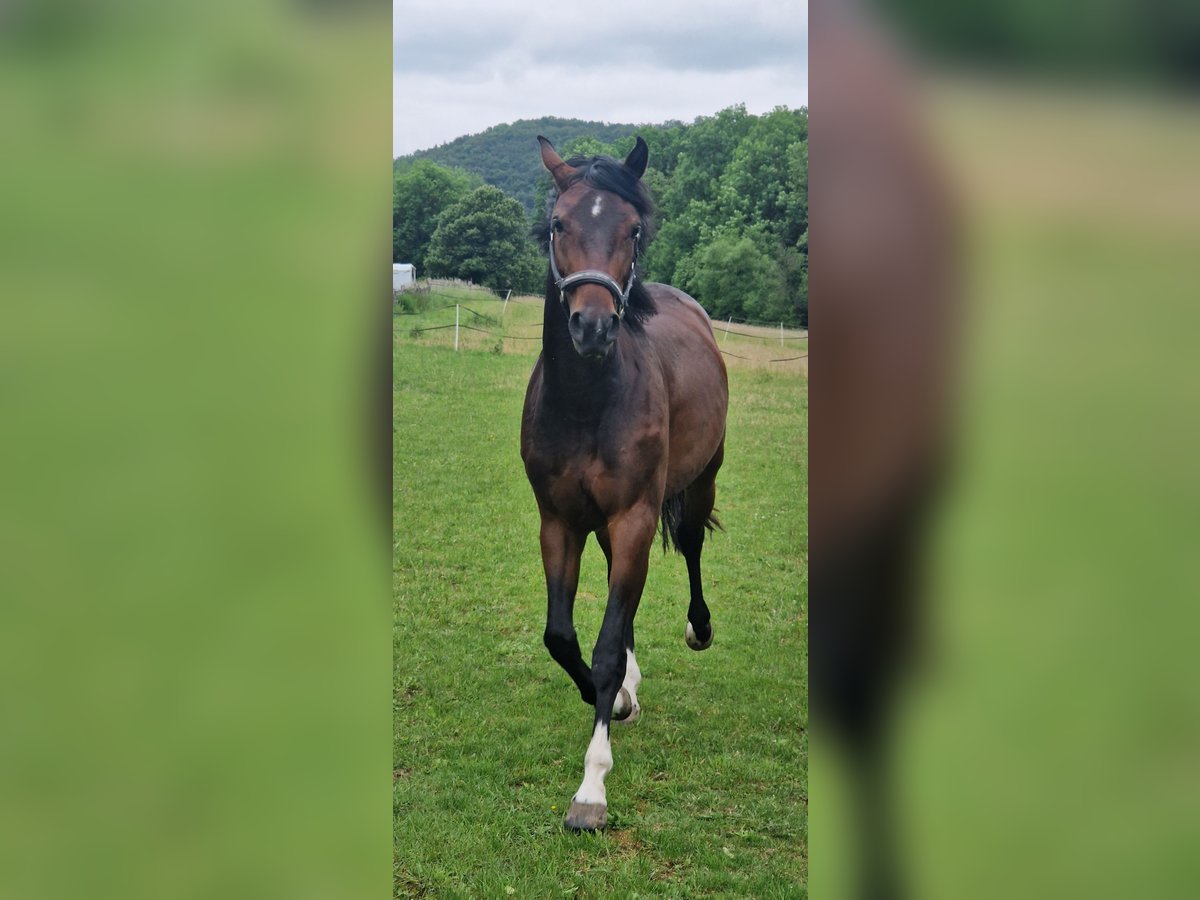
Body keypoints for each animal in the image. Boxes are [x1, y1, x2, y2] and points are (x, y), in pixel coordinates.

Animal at [518, 133, 724, 830]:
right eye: (558, 224)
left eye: (633, 229)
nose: (593, 326)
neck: (587, 403)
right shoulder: (560, 522)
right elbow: (563, 637)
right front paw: (614, 699)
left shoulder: (634, 514)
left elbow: (605, 645)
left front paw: (591, 787)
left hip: (700, 480)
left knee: (691, 546)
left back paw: (699, 629)